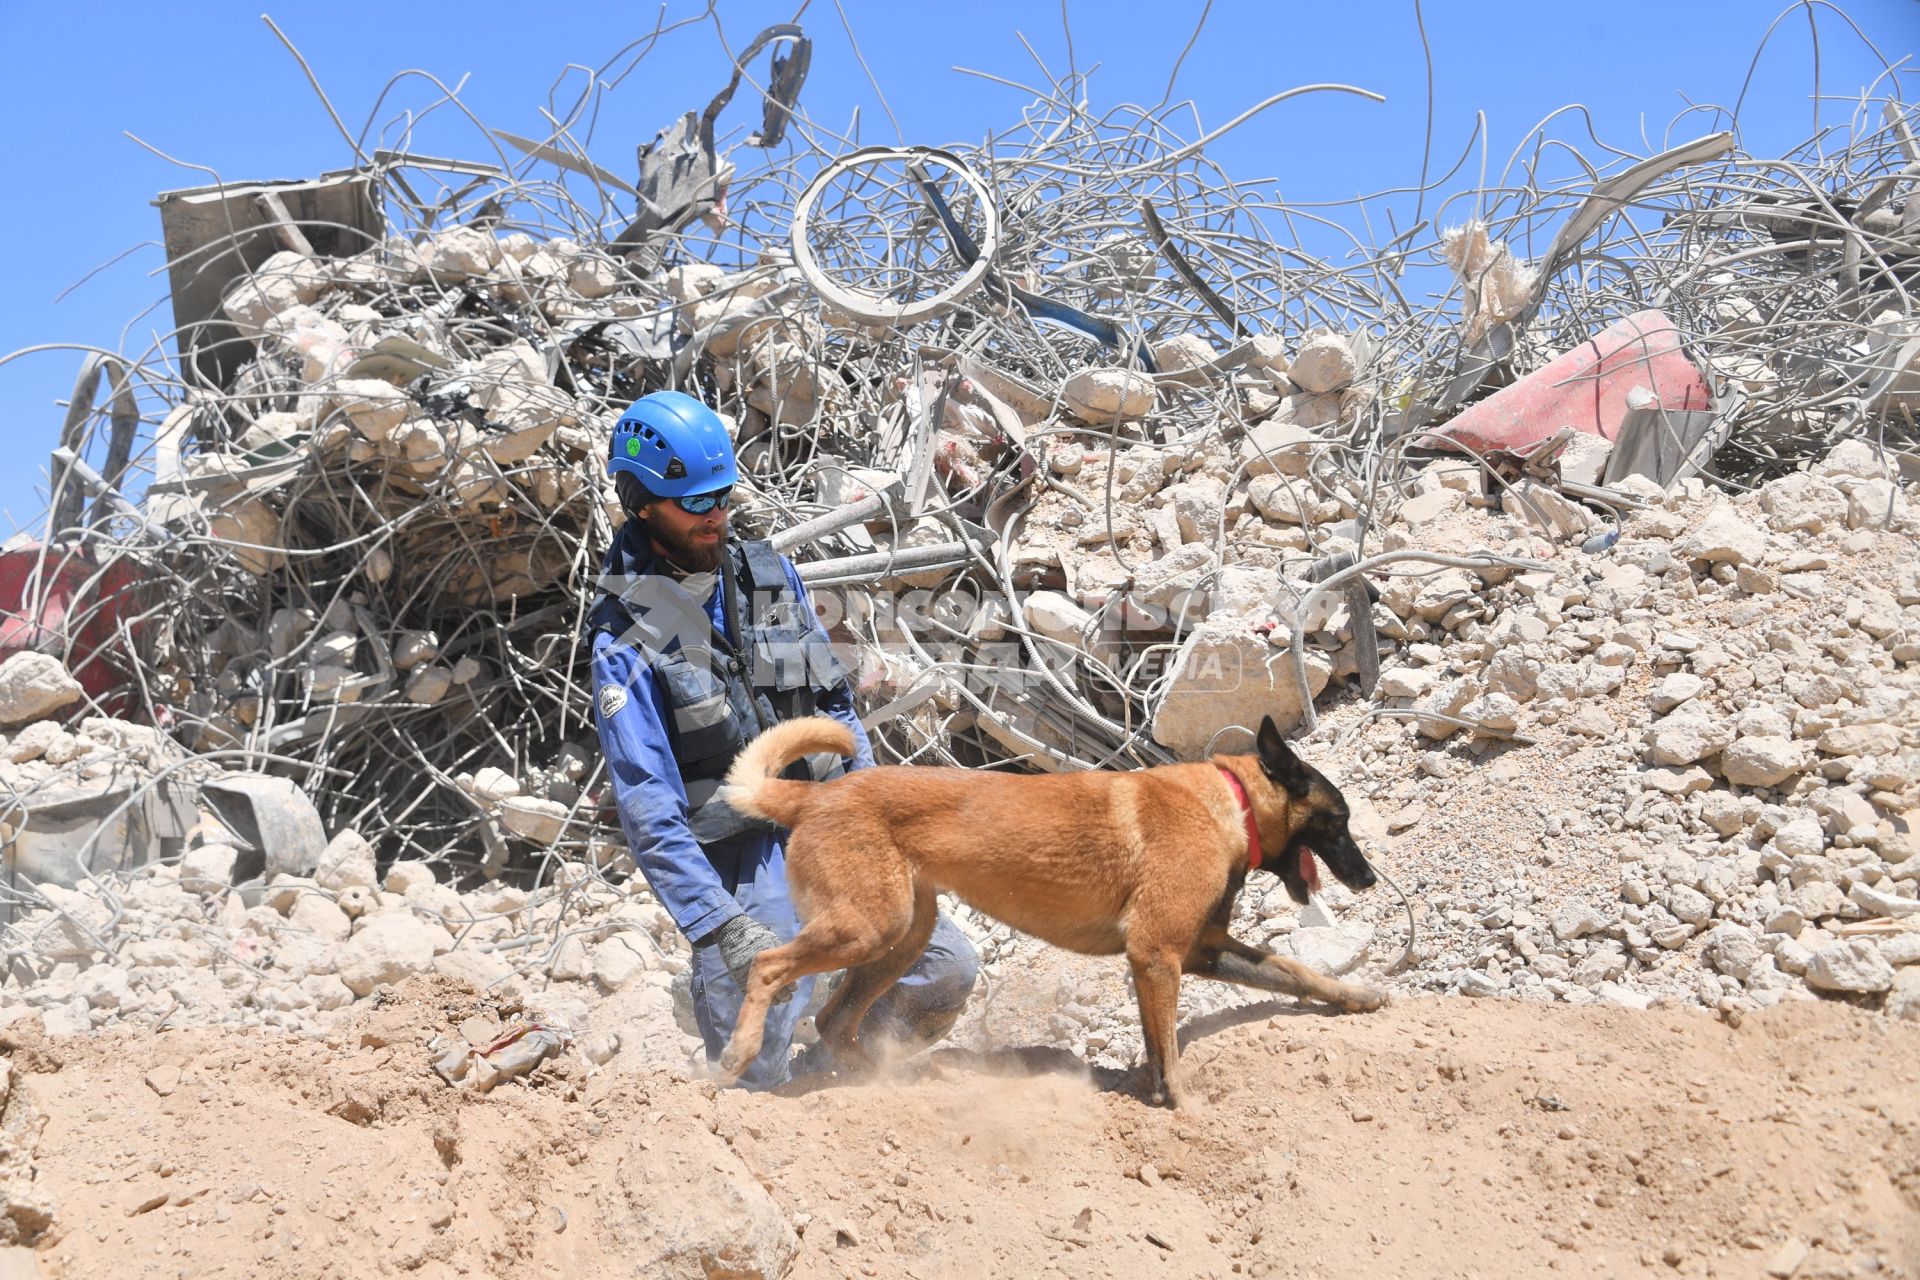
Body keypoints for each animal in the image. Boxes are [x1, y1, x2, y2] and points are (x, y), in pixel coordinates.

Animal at [714, 717, 1390, 1105]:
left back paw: (895, 1080)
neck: (1231, 803)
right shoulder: (1157, 953)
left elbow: (1295, 972)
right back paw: (740, 1054)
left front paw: (1357, 996)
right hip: (867, 927)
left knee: (835, 1020)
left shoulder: (1197, 951)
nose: (1368, 879)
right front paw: (1178, 1103)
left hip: (901, 935)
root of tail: (812, 795)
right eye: (1339, 822)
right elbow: (1168, 1048)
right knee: (769, 968)